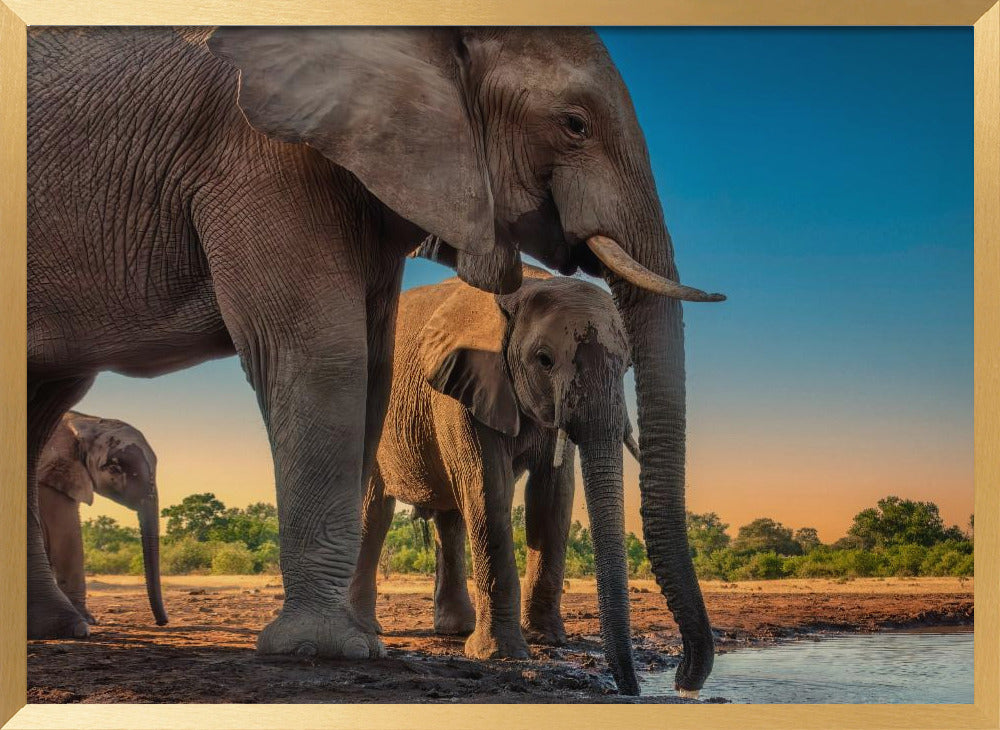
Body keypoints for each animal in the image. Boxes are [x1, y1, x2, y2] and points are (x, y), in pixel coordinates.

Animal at [347, 266, 646, 693]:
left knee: (450, 518)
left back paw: (456, 630)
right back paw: (367, 628)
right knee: (375, 511)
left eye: (626, 367)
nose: (630, 689)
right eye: (544, 360)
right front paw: (502, 654)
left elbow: (553, 495)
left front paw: (546, 639)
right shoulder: (464, 386)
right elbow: (489, 486)